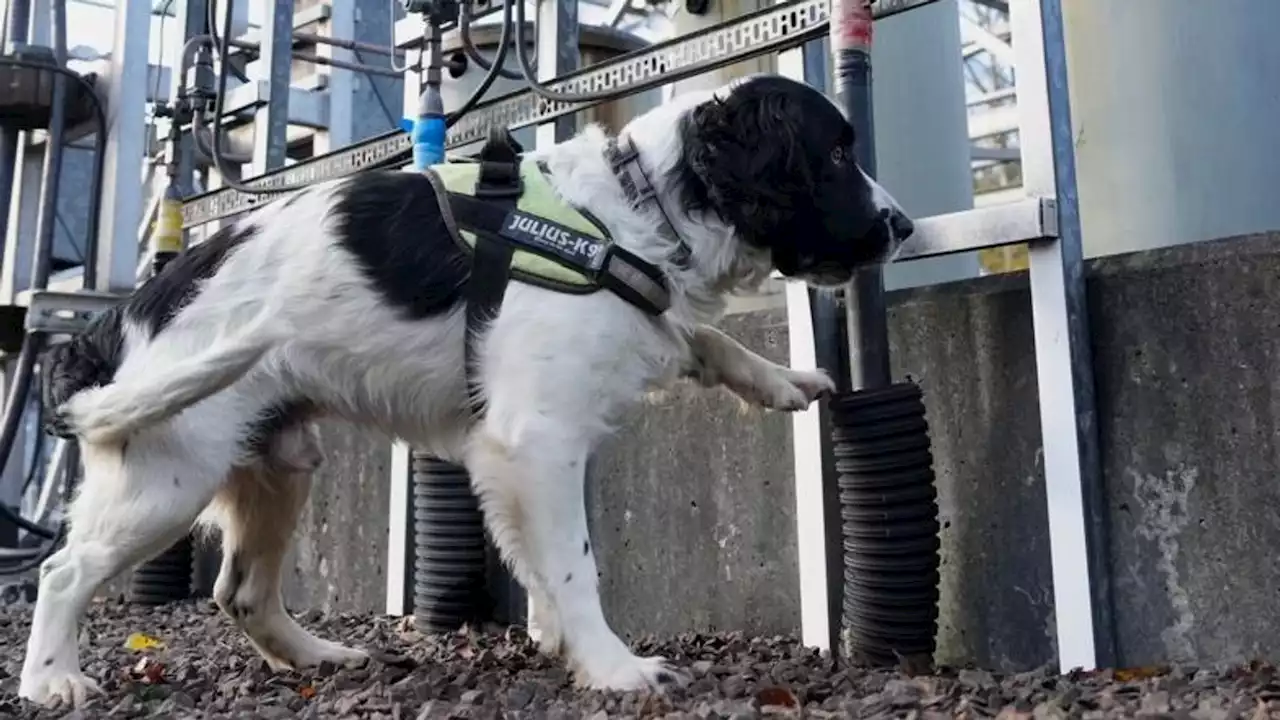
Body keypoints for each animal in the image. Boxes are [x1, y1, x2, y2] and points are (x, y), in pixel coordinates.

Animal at [17, 75, 911, 702]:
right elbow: (577, 566)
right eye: (836, 155)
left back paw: (316, 657)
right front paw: (613, 667)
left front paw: (781, 378)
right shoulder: (537, 440)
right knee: (62, 571)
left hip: (278, 463)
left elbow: (703, 338)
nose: (902, 225)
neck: (633, 210)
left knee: (240, 592)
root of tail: (114, 324)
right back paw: (50, 680)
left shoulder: (519, 445)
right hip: (168, 477)